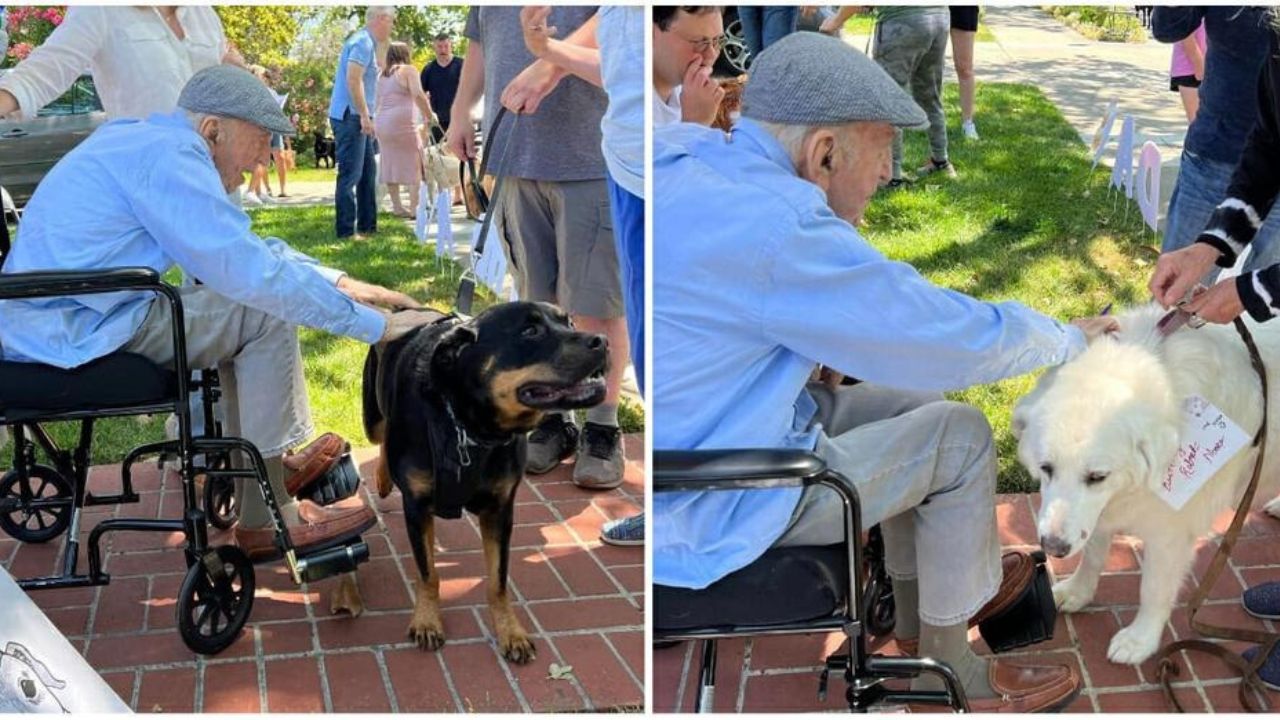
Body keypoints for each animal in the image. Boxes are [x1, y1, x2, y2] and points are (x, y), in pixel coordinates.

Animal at [355, 298, 604, 661]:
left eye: (569, 322)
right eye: (530, 331)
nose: (602, 341)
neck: (469, 427)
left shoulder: (500, 511)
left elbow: (497, 580)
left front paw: (510, 630)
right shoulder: (417, 508)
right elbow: (429, 573)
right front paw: (427, 620)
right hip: (371, 416)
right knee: (382, 434)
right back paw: (384, 476)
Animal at [1008, 302, 1280, 661]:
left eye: (1097, 477)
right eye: (1046, 468)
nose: (1053, 548)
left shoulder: (1170, 534)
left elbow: (1153, 589)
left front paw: (1140, 640)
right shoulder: (1098, 513)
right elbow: (1092, 555)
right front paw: (1078, 592)